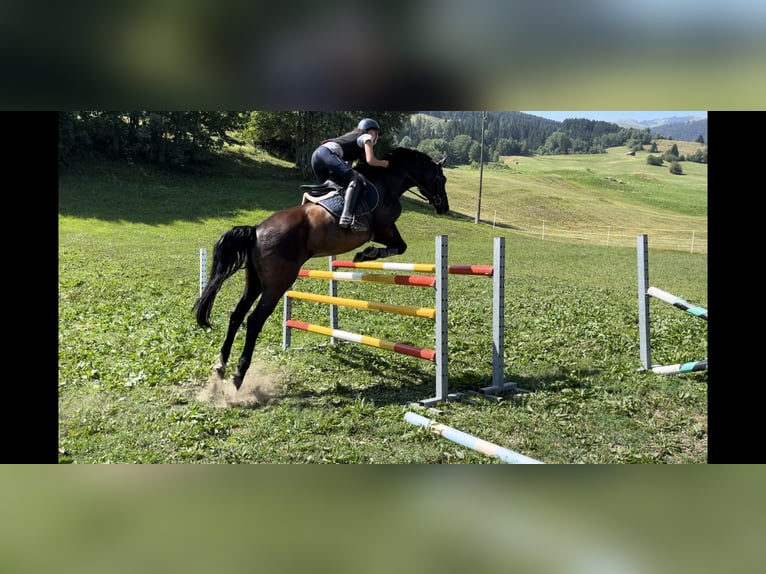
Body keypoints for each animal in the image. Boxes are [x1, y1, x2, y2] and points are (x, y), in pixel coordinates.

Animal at [195, 147, 452, 392]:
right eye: (442, 178)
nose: (444, 208)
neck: (386, 182)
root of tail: (256, 230)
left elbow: (399, 247)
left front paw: (365, 254)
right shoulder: (384, 228)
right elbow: (400, 246)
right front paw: (367, 254)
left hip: (255, 281)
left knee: (236, 314)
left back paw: (221, 366)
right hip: (278, 284)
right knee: (255, 319)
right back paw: (239, 374)